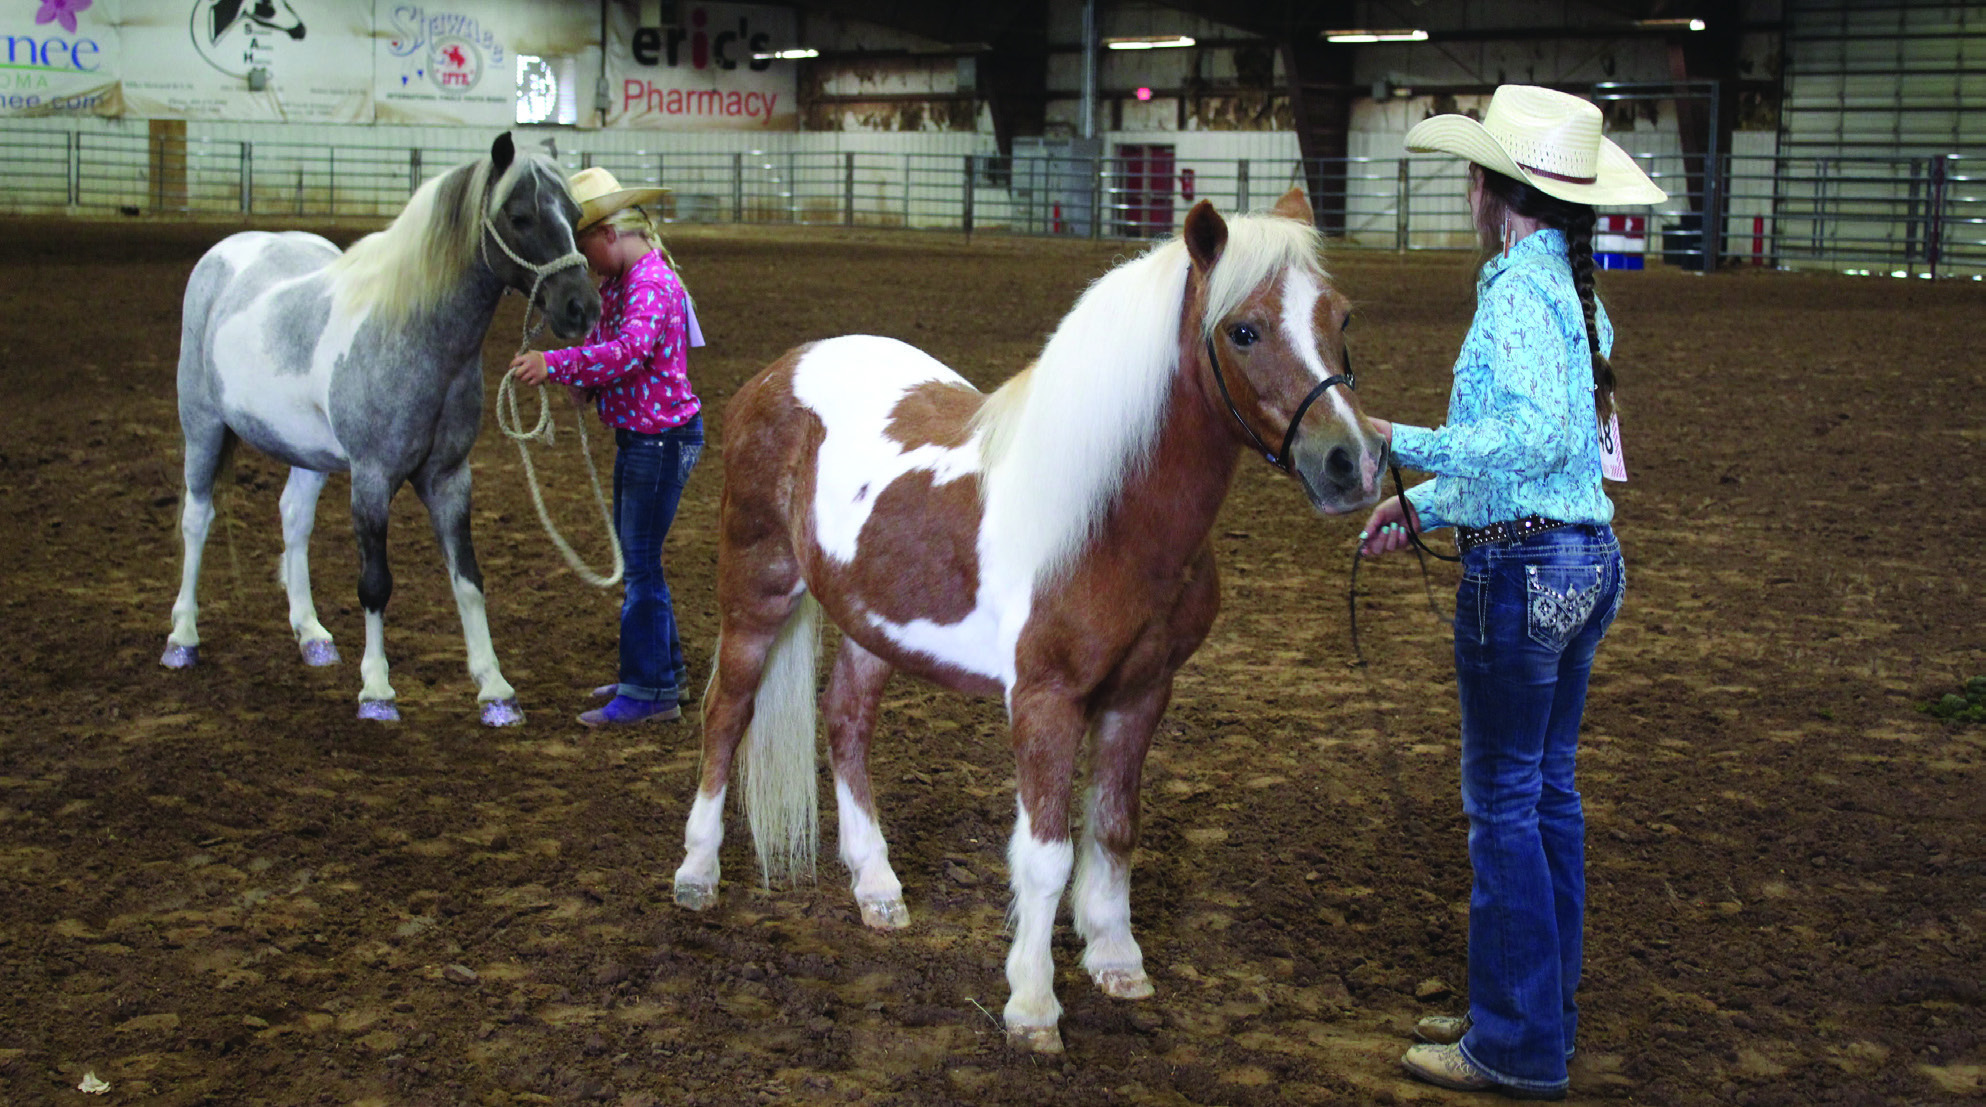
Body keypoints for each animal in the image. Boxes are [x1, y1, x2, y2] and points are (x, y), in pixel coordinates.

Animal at [161, 132, 600, 727]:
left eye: (575, 215)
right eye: (519, 215)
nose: (583, 308)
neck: (413, 333)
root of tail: (227, 253)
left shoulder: (449, 478)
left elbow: (468, 579)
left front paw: (495, 689)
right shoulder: (371, 478)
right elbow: (375, 583)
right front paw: (376, 691)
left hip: (308, 454)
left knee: (293, 518)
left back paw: (311, 635)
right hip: (203, 428)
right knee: (197, 520)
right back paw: (182, 638)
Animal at [669, 189, 1387, 1052]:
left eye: (1340, 316)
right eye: (1243, 329)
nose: (1352, 463)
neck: (1108, 518)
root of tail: (781, 370)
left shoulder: (1141, 693)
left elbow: (1114, 827)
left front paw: (1116, 959)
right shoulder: (1045, 699)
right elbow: (1046, 852)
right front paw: (1033, 1004)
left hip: (872, 620)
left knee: (845, 721)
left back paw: (877, 885)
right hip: (756, 590)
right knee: (725, 714)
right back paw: (697, 875)